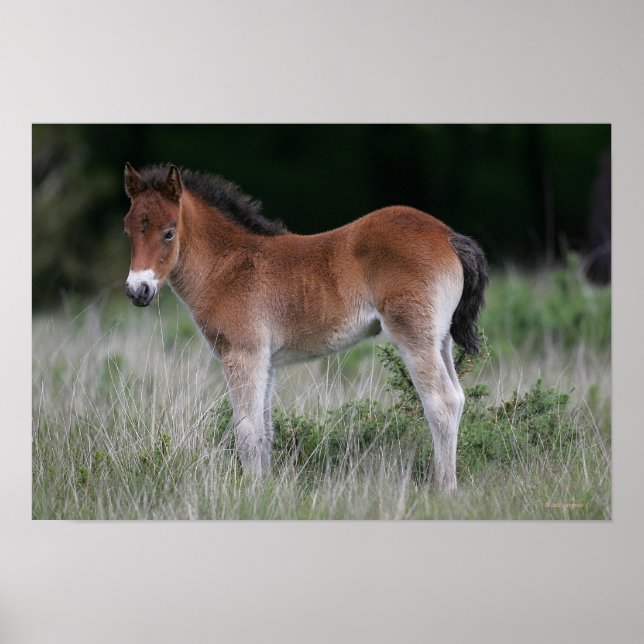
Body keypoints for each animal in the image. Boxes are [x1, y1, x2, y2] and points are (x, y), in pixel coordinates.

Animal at [123, 163, 488, 492]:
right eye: (128, 231)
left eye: (169, 232)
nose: (137, 291)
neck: (227, 264)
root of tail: (448, 235)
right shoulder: (265, 361)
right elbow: (265, 430)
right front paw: (264, 490)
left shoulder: (243, 354)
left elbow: (246, 430)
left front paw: (250, 493)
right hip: (439, 339)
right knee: (457, 398)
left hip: (414, 336)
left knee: (441, 402)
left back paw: (444, 490)